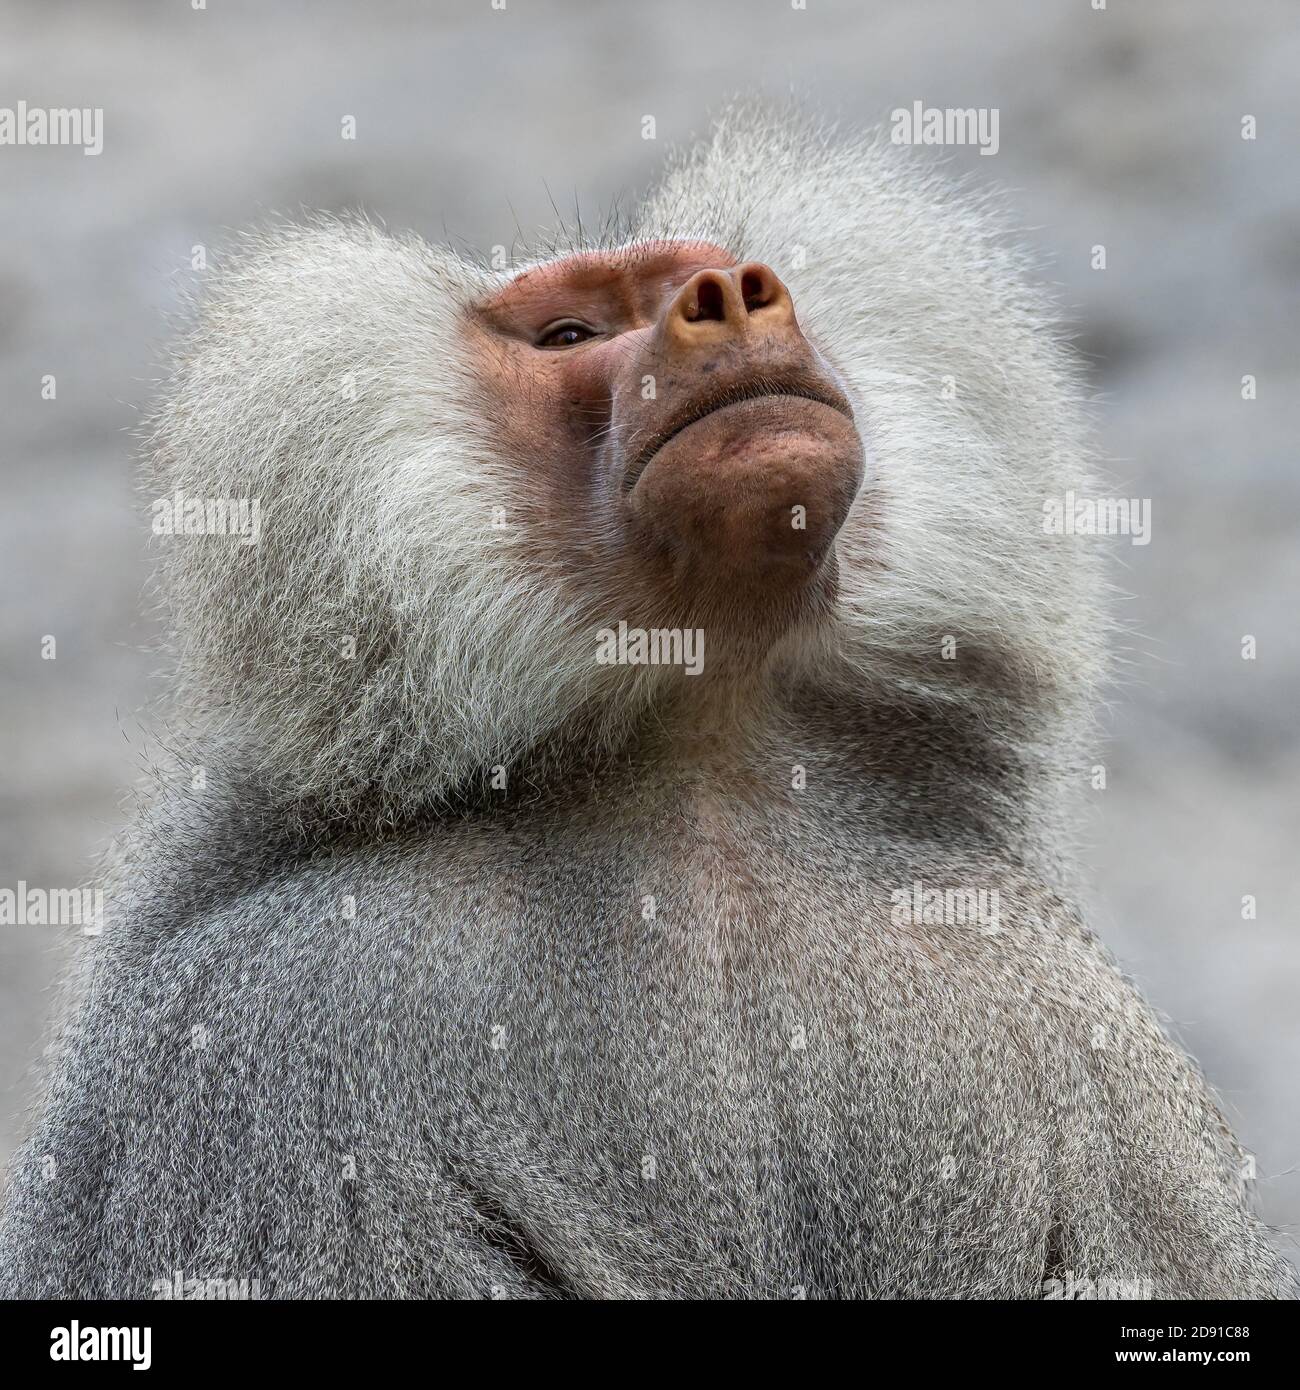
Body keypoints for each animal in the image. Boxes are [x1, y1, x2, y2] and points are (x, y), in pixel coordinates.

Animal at [1, 107, 1295, 1300]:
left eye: (696, 277)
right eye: (571, 333)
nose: (730, 295)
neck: (701, 764)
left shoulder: (1060, 1010)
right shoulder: (272, 1027)